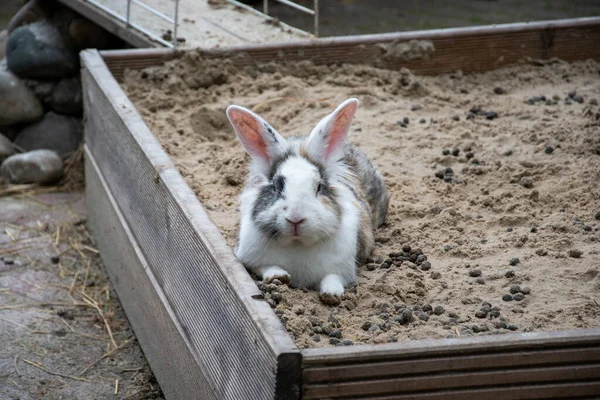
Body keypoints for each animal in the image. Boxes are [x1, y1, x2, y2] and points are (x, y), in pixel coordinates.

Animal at [225, 98, 390, 304]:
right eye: (277, 186)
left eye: (319, 187)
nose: (295, 219)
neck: (298, 243)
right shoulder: (249, 259)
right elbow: (266, 267)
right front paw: (278, 276)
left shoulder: (343, 270)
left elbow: (333, 277)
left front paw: (331, 294)